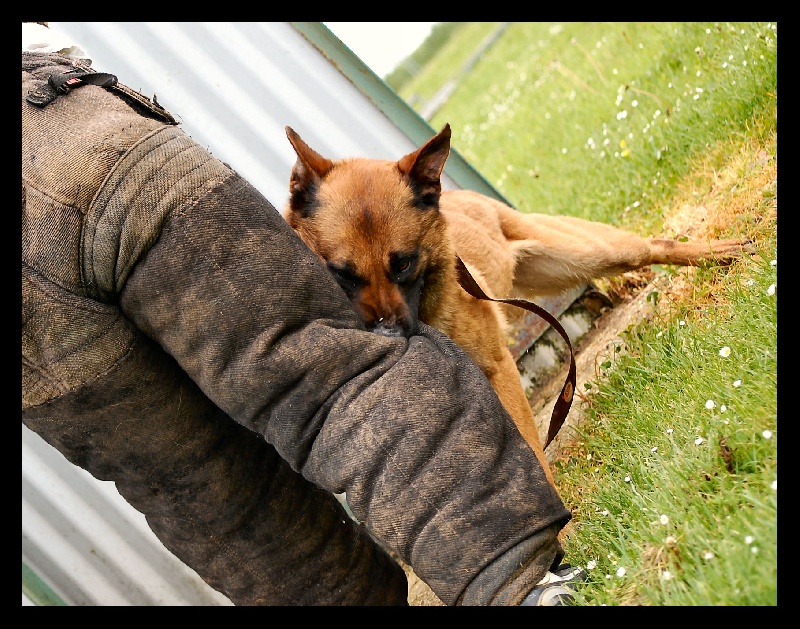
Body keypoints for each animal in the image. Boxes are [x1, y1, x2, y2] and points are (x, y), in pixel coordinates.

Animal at [282, 124, 752, 486]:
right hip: (553, 271)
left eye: (403, 264)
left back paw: (717, 253)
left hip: (589, 252)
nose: (389, 335)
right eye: (342, 272)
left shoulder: (497, 372)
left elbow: (530, 455)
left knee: (654, 244)